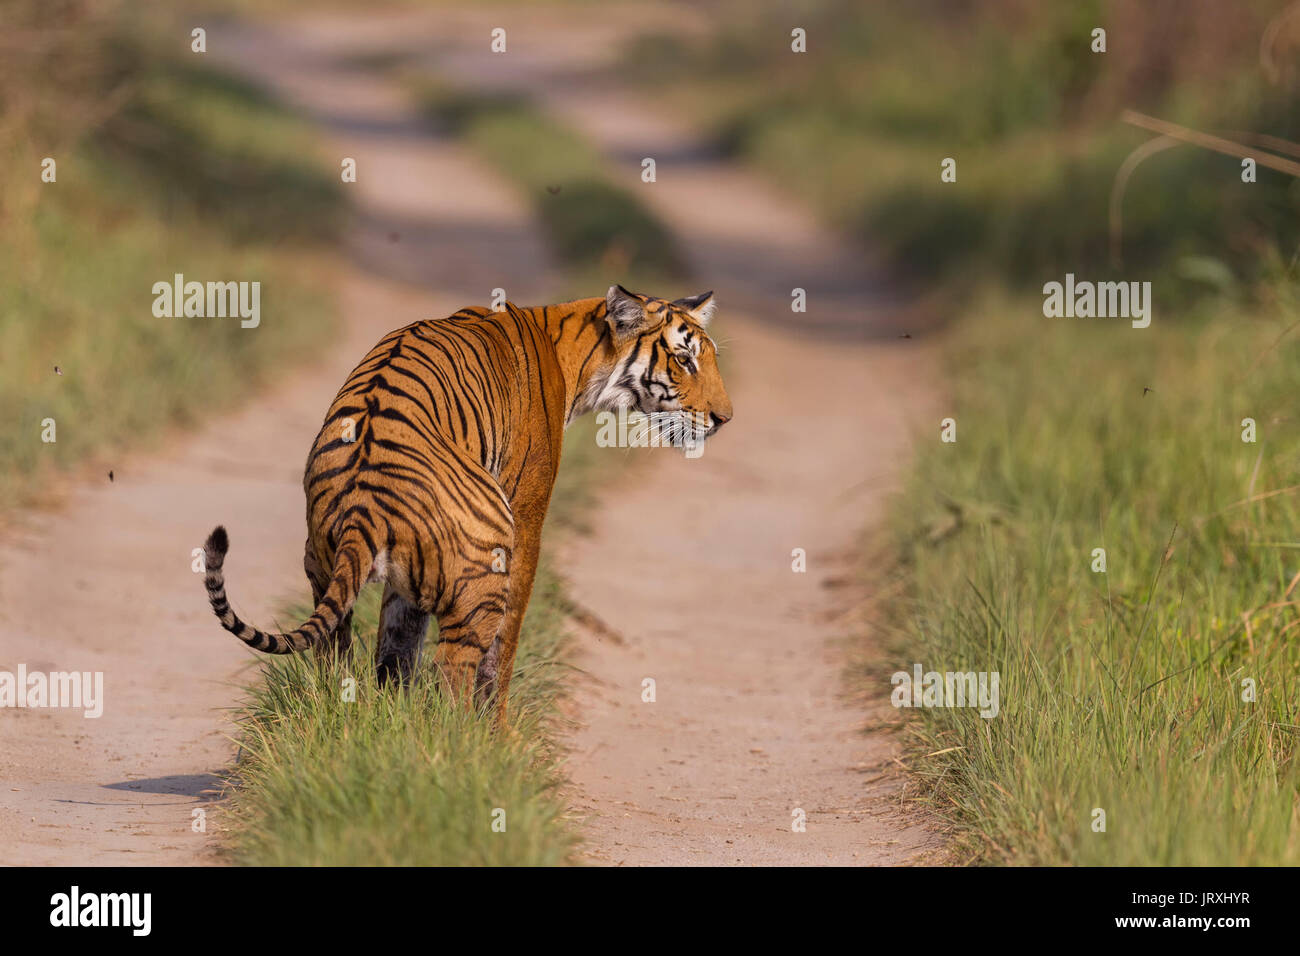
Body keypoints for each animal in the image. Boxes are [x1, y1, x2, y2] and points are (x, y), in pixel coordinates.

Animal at [201, 283, 733, 723]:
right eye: (684, 361)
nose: (725, 418)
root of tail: (363, 503)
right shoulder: (528, 515)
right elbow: (503, 647)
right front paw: (495, 734)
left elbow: (397, 646)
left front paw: (392, 715)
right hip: (488, 560)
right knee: (451, 668)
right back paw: (462, 742)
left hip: (325, 564)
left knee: (338, 653)